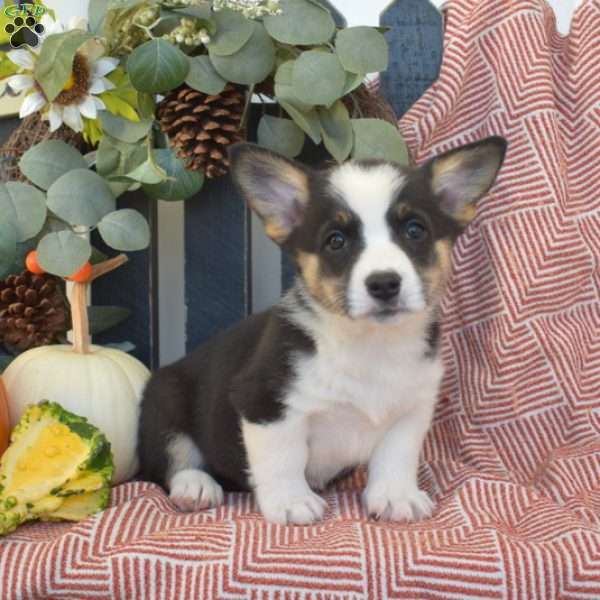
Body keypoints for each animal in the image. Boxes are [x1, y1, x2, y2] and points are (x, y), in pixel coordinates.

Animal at [137, 138, 506, 524]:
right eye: (336, 240)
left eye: (415, 230)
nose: (384, 283)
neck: (371, 345)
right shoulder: (264, 403)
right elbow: (283, 458)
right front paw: (291, 501)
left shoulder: (410, 412)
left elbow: (396, 458)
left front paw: (396, 496)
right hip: (164, 400)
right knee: (172, 461)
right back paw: (195, 486)